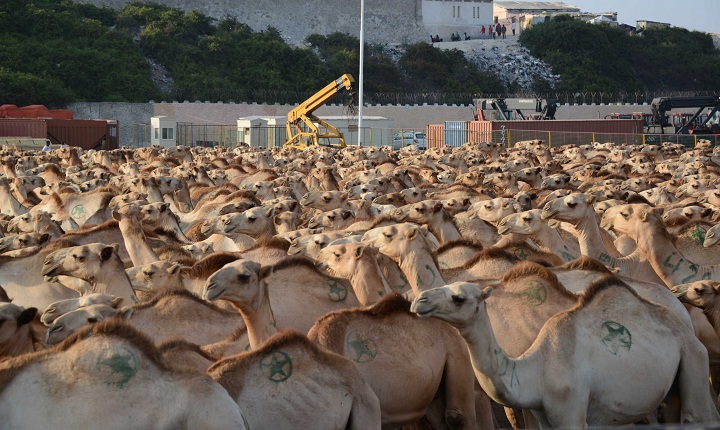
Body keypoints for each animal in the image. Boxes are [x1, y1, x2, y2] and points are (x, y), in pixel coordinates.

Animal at [411, 277, 720, 427]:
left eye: (459, 298)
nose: (418, 301)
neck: (536, 370)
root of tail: (684, 323)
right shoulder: (544, 417)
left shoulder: (571, 412)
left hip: (693, 357)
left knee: (697, 415)